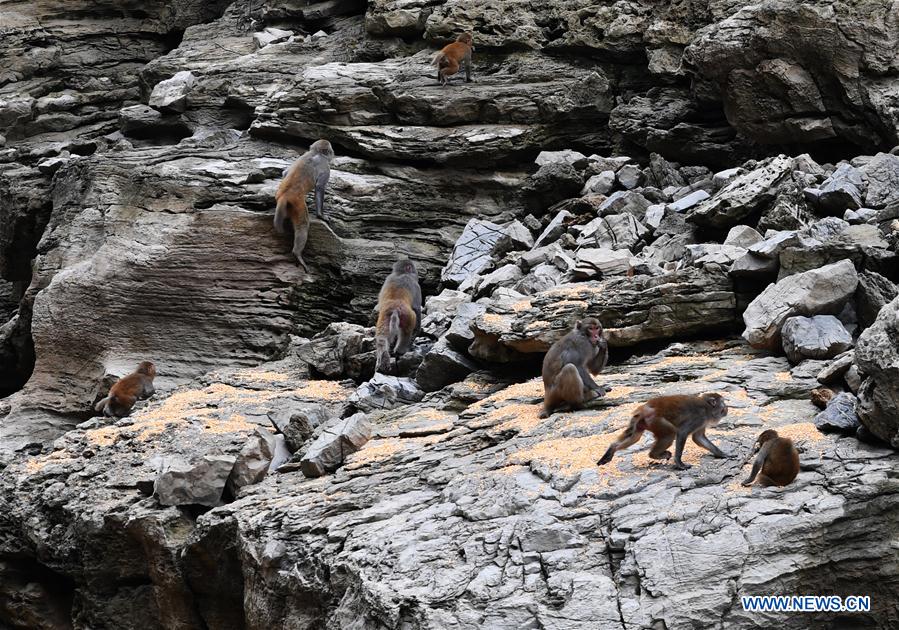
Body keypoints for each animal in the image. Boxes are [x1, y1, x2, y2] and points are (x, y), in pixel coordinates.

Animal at [272, 139, 336, 272]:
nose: (333, 153)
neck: (315, 153)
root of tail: (285, 194)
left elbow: (285, 172)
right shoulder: (325, 166)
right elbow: (319, 187)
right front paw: (320, 215)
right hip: (296, 203)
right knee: (303, 224)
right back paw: (297, 253)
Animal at [596, 396, 732, 470]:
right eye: (723, 403)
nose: (727, 408)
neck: (707, 408)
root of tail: (644, 409)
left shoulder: (702, 422)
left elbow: (698, 438)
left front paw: (722, 454)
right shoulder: (699, 417)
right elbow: (682, 433)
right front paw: (679, 463)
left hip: (641, 422)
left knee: (635, 436)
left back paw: (612, 449)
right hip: (655, 420)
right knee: (670, 433)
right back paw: (654, 455)